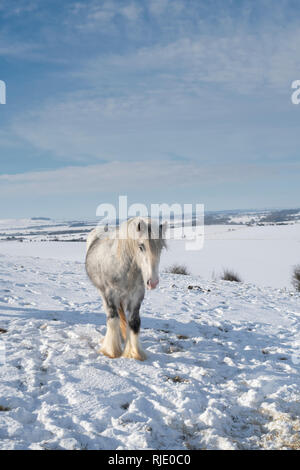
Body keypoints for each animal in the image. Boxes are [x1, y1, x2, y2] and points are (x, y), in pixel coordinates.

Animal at [85, 217, 168, 360]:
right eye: (141, 246)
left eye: (161, 248)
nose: (152, 282)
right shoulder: (110, 294)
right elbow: (113, 319)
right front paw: (111, 351)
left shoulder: (136, 296)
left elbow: (134, 323)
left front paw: (134, 353)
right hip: (103, 293)